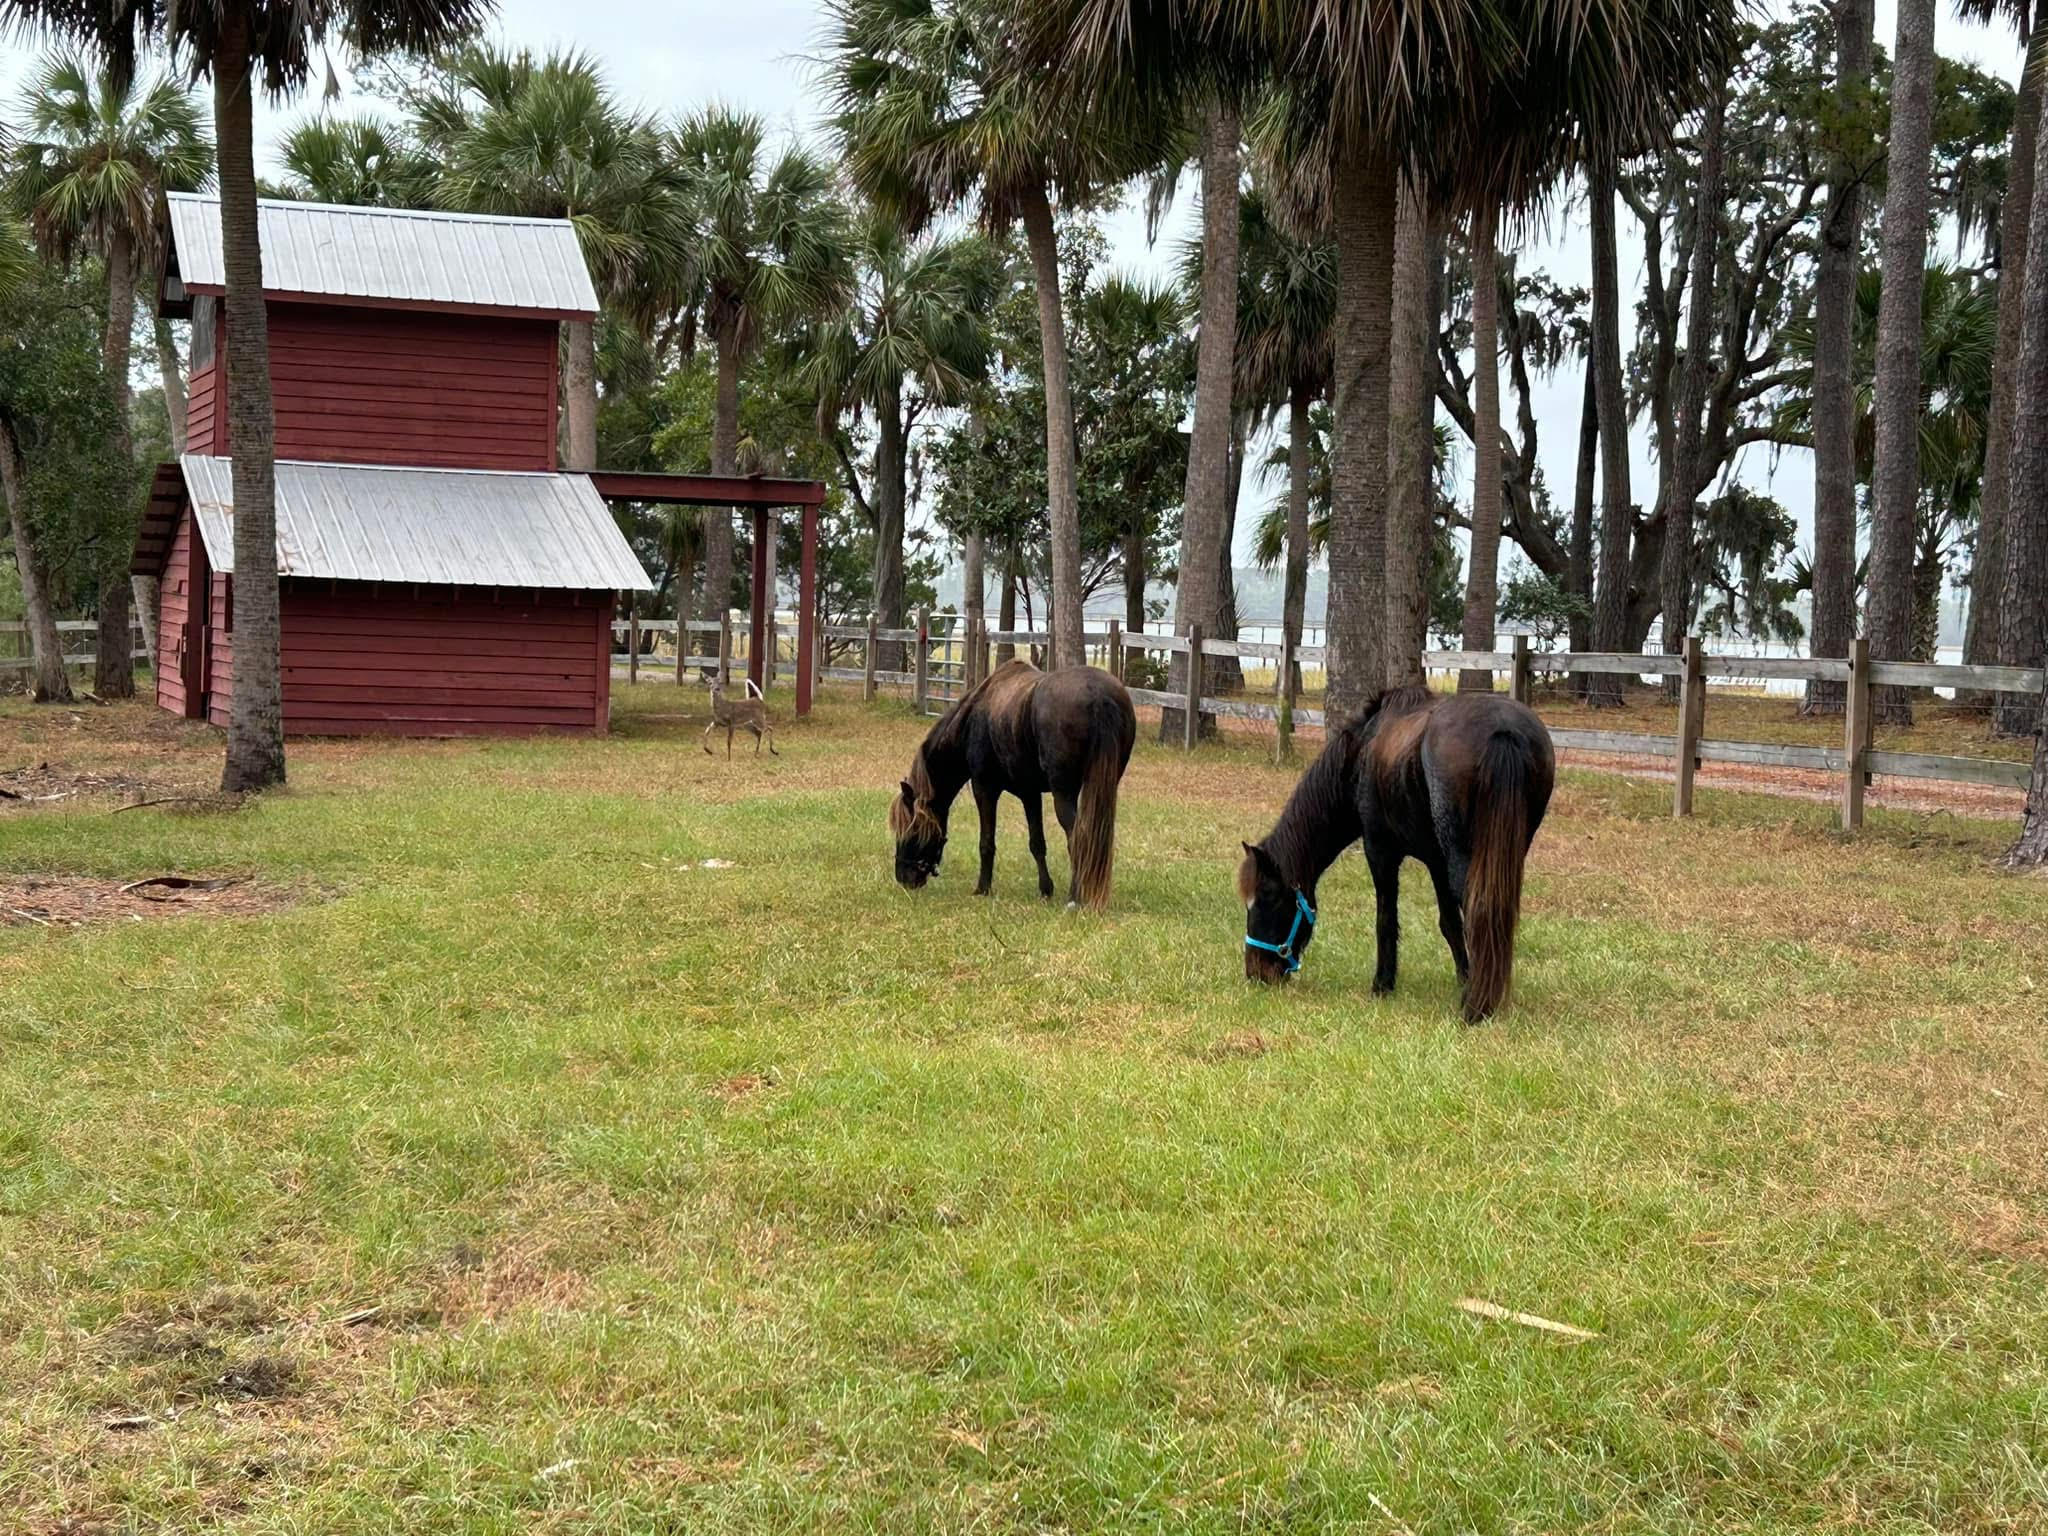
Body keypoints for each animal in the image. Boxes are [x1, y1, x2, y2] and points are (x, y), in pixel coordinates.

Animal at [884, 663, 1138, 909]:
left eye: (912, 828)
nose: (903, 877)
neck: (974, 717)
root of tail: (1098, 696)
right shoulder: (1030, 794)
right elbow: (1037, 843)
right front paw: (1045, 889)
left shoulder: (984, 788)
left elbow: (986, 842)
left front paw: (982, 889)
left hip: (1063, 793)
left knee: (1078, 838)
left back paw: (1075, 897)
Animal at [1236, 684, 1556, 1024]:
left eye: (1268, 898)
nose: (1257, 973)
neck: (1362, 751)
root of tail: (1502, 730)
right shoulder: (1437, 862)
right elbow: (1450, 924)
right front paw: (1464, 977)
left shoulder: (1380, 851)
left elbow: (1386, 919)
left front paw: (1382, 984)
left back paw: (1475, 1004)